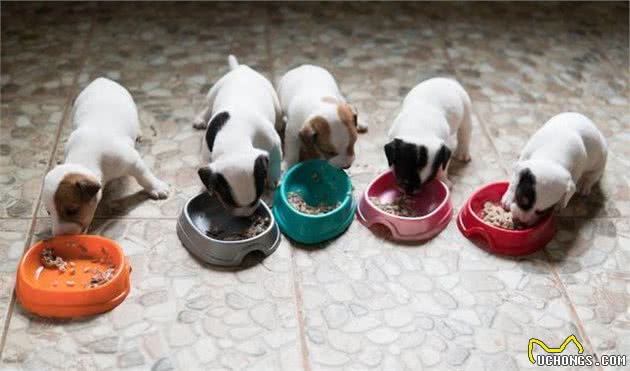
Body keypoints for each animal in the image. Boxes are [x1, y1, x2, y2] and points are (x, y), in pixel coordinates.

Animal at [42, 77, 172, 235]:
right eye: (49, 212)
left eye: (72, 210)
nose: (59, 237)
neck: (84, 157)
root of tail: (102, 79)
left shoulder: (131, 161)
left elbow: (144, 175)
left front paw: (157, 187)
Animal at [191, 55, 282, 218]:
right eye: (228, 201)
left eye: (257, 197)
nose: (246, 215)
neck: (234, 141)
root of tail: (240, 69)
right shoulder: (206, 155)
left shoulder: (273, 143)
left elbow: (275, 159)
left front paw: (273, 178)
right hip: (212, 93)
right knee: (208, 106)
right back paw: (201, 118)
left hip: (275, 100)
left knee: (278, 115)